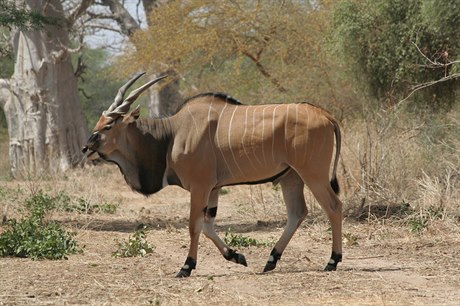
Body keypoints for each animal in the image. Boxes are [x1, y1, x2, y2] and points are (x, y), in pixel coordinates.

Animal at [82, 72, 344, 278]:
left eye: (108, 126)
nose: (86, 147)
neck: (172, 135)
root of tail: (326, 116)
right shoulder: (214, 189)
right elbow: (207, 225)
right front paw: (236, 256)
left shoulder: (200, 186)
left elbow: (193, 225)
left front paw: (186, 267)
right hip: (291, 178)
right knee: (297, 213)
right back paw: (271, 260)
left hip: (313, 175)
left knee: (333, 206)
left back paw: (332, 261)